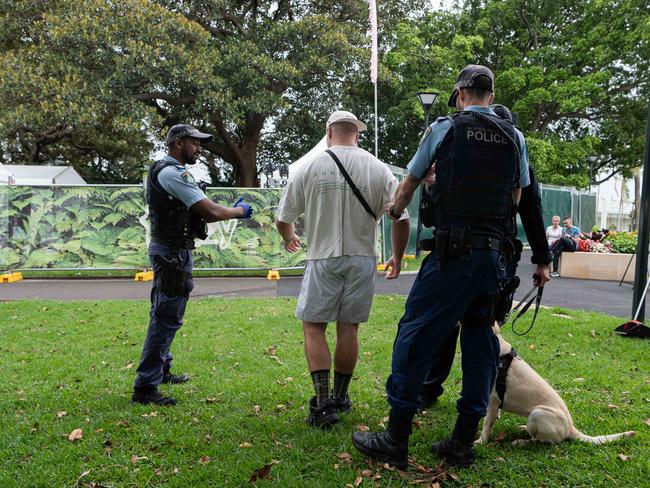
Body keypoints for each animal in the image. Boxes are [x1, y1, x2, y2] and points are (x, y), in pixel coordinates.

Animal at [476, 324, 632, 446]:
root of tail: (571, 428)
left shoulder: (493, 400)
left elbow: (487, 424)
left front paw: (481, 442)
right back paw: (523, 428)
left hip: (537, 413)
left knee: (541, 441)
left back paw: (521, 441)